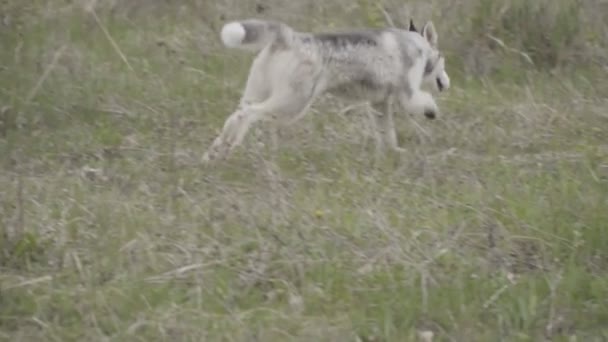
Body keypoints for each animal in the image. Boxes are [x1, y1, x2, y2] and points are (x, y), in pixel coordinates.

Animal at [202, 17, 448, 163]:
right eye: (443, 60)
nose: (447, 83)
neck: (416, 44)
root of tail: (290, 36)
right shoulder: (408, 94)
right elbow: (424, 101)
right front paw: (433, 111)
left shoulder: (379, 104)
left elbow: (387, 132)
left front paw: (393, 153)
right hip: (292, 103)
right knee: (246, 115)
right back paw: (226, 148)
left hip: (258, 93)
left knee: (234, 116)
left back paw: (216, 152)